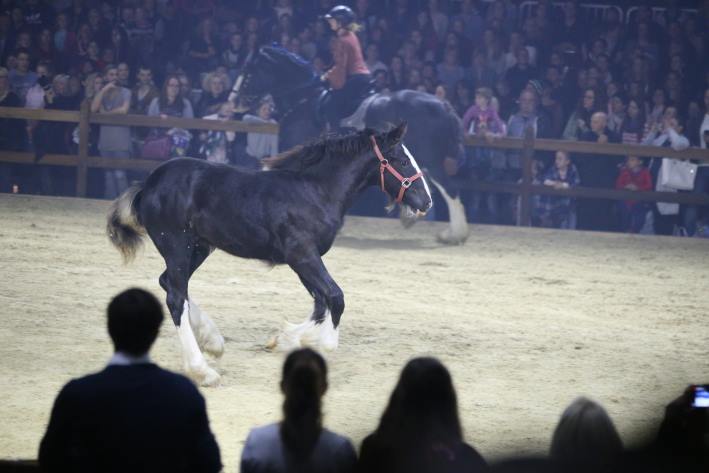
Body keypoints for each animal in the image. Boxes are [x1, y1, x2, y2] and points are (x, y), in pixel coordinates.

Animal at [108, 123, 432, 386]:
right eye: (402, 160)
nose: (426, 202)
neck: (316, 191)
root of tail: (148, 184)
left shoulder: (302, 259)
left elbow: (320, 303)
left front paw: (283, 340)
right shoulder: (302, 254)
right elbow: (335, 298)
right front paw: (322, 342)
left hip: (198, 247)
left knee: (170, 284)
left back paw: (213, 342)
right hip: (177, 245)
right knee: (175, 296)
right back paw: (203, 371)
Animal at [232, 46, 470, 240]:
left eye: (248, 71)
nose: (233, 101)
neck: (304, 100)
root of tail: (443, 105)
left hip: (432, 160)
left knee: (449, 188)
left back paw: (454, 234)